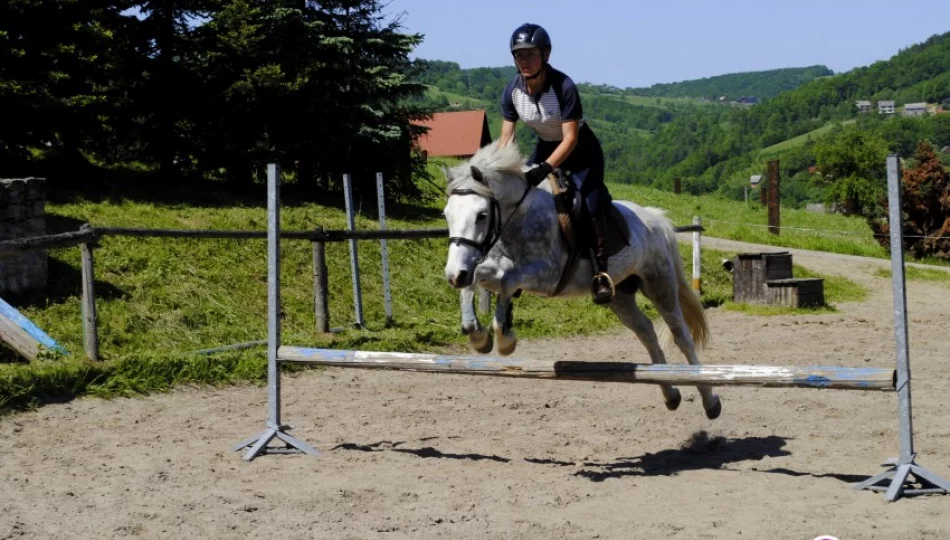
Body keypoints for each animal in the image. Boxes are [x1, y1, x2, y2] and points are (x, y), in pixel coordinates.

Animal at [442, 141, 724, 420]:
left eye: (481, 215)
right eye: (447, 214)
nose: (454, 275)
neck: (519, 216)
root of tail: (655, 218)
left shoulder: (547, 275)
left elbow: (507, 281)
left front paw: (504, 338)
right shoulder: (488, 265)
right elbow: (479, 281)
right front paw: (478, 335)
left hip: (659, 283)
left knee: (681, 334)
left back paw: (709, 400)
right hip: (619, 296)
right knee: (646, 331)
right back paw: (671, 394)